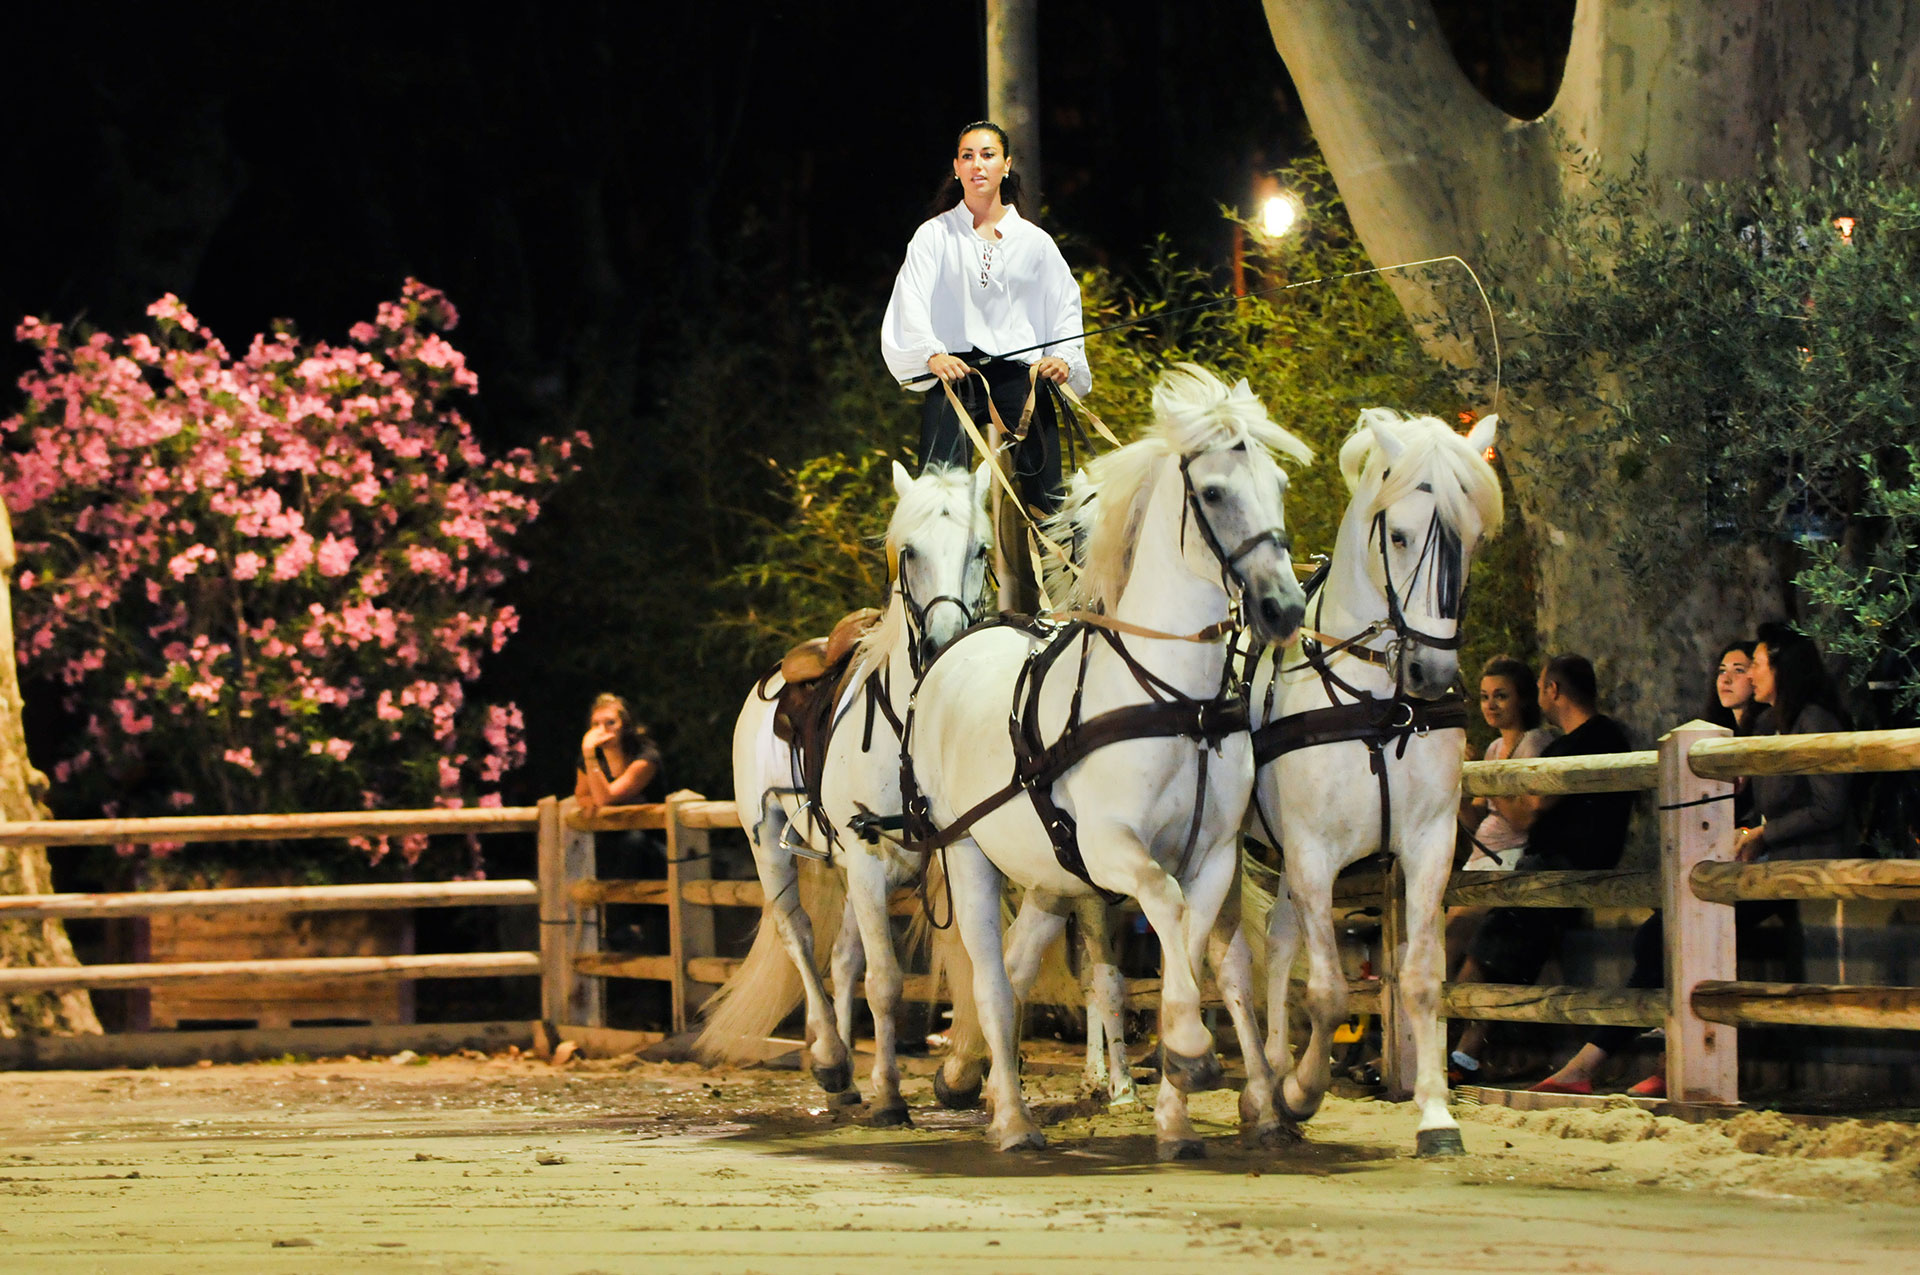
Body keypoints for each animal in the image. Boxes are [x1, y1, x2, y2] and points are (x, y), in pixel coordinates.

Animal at [710, 460, 1006, 1129]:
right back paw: (830, 1059)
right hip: (771, 846)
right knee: (800, 939)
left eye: (980, 548)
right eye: (909, 551)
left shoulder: (952, 856)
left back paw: (844, 1081)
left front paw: (968, 1078)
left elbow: (971, 966)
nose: (943, 643)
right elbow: (888, 983)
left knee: (843, 957)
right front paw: (891, 1095)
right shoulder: (870, 862)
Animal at [906, 366, 1313, 1152]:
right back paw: (1011, 1119)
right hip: (968, 852)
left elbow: (1192, 936)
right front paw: (1189, 1051)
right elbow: (1165, 902)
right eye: (1213, 492)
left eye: (1279, 483)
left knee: (1017, 965)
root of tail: (955, 650)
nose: (1283, 607)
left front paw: (1178, 1103)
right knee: (991, 981)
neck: (1177, 701)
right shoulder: (1111, 847)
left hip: (1045, 872)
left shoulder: (1214, 853)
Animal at [1251, 408, 1505, 1152]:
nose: (1431, 673)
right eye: (1398, 535)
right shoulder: (1315, 853)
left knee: (1275, 941)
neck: (1377, 705)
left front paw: (1436, 1114)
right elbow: (1330, 991)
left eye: (1472, 539)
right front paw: (1304, 1091)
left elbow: (1420, 977)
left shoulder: (1428, 845)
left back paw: (1268, 1073)